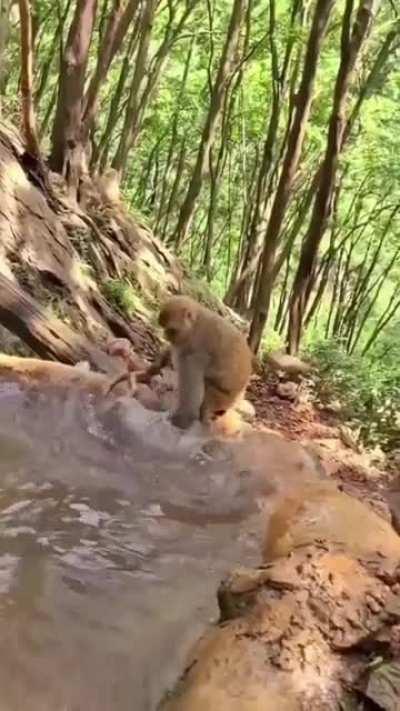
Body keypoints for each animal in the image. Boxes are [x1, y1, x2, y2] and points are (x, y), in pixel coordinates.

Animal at [138, 296, 253, 430]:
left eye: (171, 330)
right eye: (165, 329)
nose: (166, 336)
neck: (196, 324)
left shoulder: (198, 352)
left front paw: (181, 420)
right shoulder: (185, 342)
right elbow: (172, 351)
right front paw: (151, 370)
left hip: (224, 398)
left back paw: (204, 417)